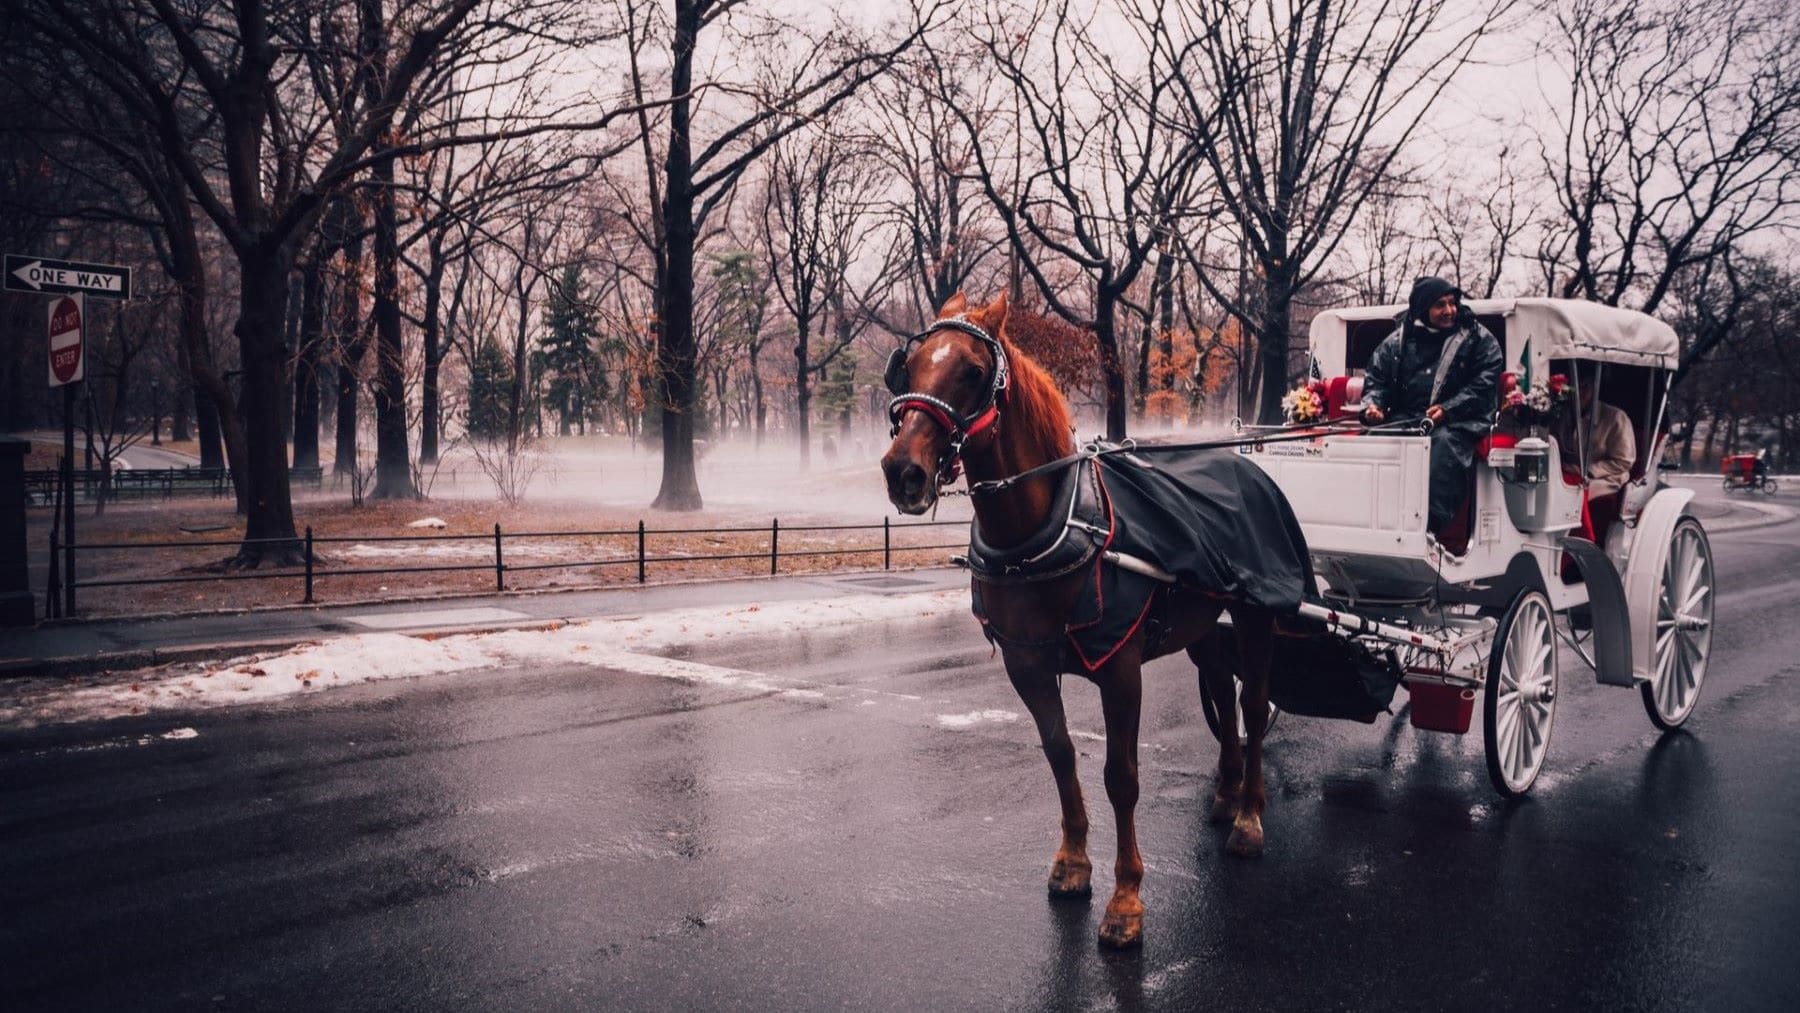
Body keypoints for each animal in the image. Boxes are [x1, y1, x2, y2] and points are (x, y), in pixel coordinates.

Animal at [879, 292, 1281, 950]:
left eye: (972, 371)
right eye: (907, 367)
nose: (902, 471)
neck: (1047, 528)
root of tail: (1244, 466)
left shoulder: (1120, 667)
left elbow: (1122, 775)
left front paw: (1126, 899)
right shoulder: (1028, 664)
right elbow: (1061, 754)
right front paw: (1072, 862)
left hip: (1255, 614)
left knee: (1251, 702)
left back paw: (1248, 816)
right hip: (1200, 624)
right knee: (1222, 688)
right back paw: (1224, 793)